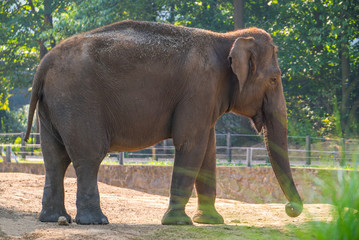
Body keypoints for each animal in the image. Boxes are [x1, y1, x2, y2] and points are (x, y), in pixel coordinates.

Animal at [23, 20, 302, 225]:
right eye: (274, 79)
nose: (290, 209)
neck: (227, 38)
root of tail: (43, 64)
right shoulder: (200, 88)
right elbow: (191, 144)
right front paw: (178, 222)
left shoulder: (206, 96)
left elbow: (208, 150)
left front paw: (211, 221)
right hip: (78, 101)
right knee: (89, 156)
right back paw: (95, 222)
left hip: (53, 106)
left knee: (54, 159)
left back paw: (54, 219)